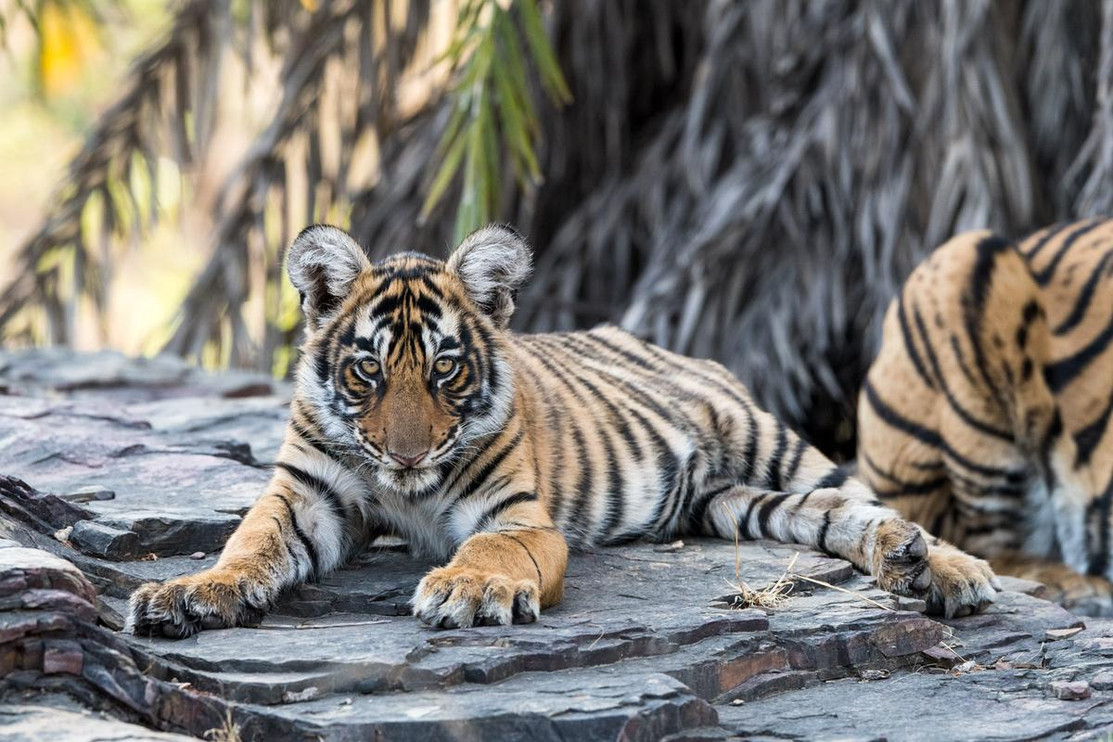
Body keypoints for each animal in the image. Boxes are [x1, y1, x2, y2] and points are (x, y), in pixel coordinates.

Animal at [127, 224, 998, 638]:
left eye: (445, 370)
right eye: (366, 370)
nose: (406, 454)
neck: (401, 489)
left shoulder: (517, 518)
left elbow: (490, 550)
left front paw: (467, 590)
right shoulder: (306, 496)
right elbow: (250, 544)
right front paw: (190, 594)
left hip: (776, 446)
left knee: (874, 503)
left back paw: (949, 572)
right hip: (736, 503)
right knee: (835, 519)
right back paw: (906, 564)